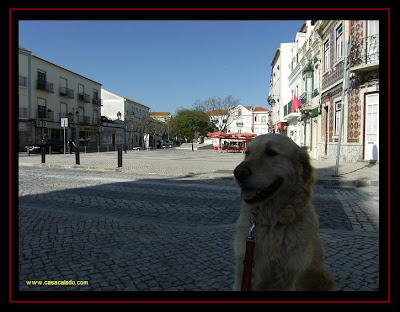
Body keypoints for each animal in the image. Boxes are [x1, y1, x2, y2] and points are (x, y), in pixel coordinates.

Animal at [233, 135, 336, 292]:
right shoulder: (243, 271)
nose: (238, 172)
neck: (272, 222)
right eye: (247, 153)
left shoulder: (290, 276)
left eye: (271, 152)